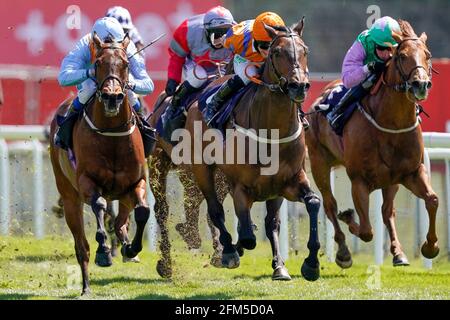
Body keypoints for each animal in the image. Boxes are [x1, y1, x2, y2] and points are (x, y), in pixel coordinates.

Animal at [50, 33, 150, 296]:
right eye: (97, 64)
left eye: (126, 64)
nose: (112, 96)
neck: (112, 134)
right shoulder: (87, 182)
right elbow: (99, 205)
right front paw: (104, 251)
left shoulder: (136, 182)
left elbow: (143, 211)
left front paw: (131, 248)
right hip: (69, 197)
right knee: (81, 246)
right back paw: (86, 285)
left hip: (123, 195)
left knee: (121, 221)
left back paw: (125, 246)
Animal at [181, 19, 322, 280]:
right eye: (277, 52)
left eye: (305, 50)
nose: (299, 86)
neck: (273, 133)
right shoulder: (241, 187)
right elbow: (247, 237)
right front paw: (231, 251)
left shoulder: (289, 182)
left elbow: (312, 204)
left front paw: (310, 264)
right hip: (202, 169)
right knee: (216, 210)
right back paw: (227, 251)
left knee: (269, 222)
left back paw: (277, 265)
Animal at [304, 20, 438, 268]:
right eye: (402, 55)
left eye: (428, 54)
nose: (421, 84)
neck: (391, 123)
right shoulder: (359, 180)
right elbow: (366, 230)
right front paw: (348, 218)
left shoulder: (411, 172)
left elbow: (432, 200)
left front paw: (430, 246)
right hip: (319, 163)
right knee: (330, 205)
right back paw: (343, 252)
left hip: (391, 181)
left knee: (387, 211)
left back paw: (398, 253)